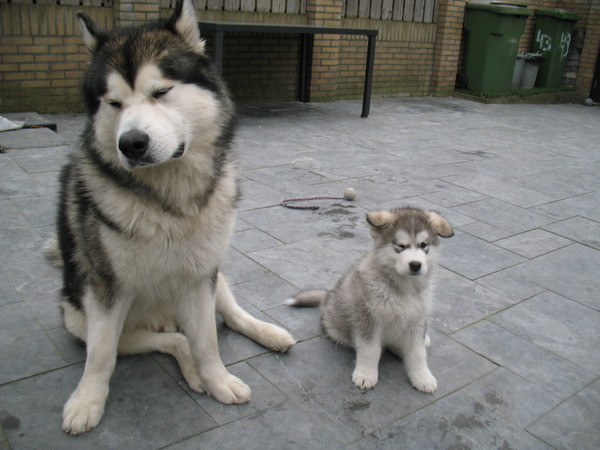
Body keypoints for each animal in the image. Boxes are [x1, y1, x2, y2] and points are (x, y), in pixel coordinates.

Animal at [55, 0, 294, 436]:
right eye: (113, 103)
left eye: (161, 92)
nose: (131, 144)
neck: (169, 201)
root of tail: (163, 318)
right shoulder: (106, 289)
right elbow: (101, 354)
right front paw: (87, 401)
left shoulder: (200, 275)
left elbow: (208, 340)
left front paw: (219, 380)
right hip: (79, 316)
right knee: (168, 341)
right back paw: (189, 367)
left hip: (215, 272)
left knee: (229, 315)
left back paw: (266, 333)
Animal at [288, 208, 452, 394]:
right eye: (400, 246)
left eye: (423, 245)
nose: (415, 265)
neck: (403, 289)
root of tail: (328, 295)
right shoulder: (368, 318)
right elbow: (370, 349)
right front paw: (366, 374)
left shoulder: (417, 319)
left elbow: (417, 351)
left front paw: (423, 377)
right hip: (337, 330)